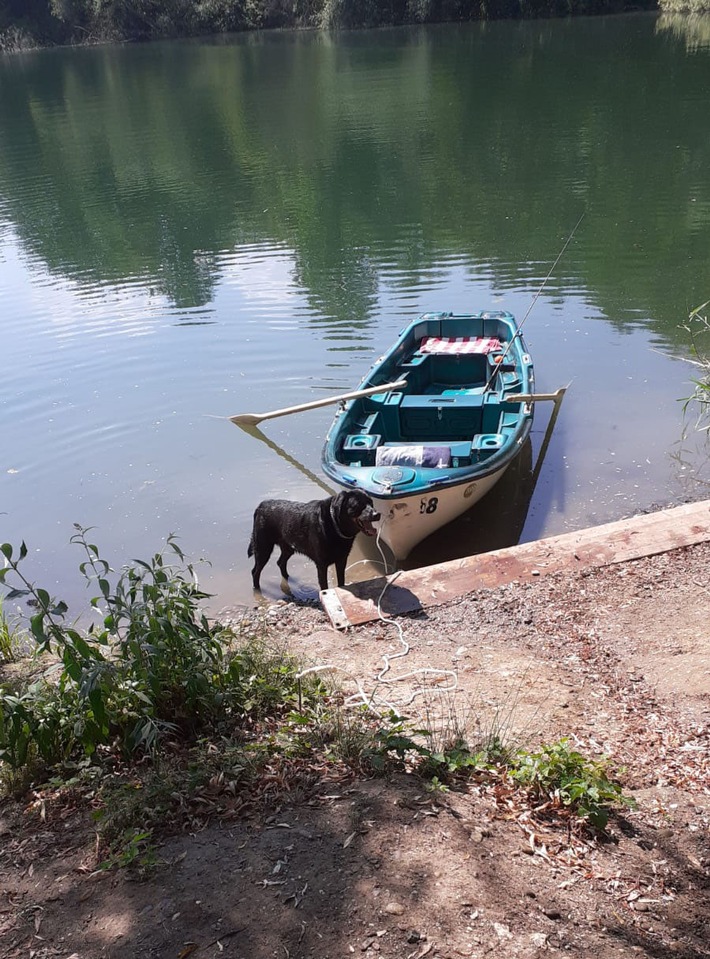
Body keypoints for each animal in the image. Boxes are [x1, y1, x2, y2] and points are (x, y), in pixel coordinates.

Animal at [248, 496, 382, 592]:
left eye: (371, 502)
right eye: (358, 504)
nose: (377, 514)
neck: (334, 524)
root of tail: (260, 506)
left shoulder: (341, 560)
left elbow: (341, 581)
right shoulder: (321, 565)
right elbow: (324, 586)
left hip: (288, 547)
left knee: (280, 562)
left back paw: (287, 578)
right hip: (263, 548)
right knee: (255, 571)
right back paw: (257, 589)